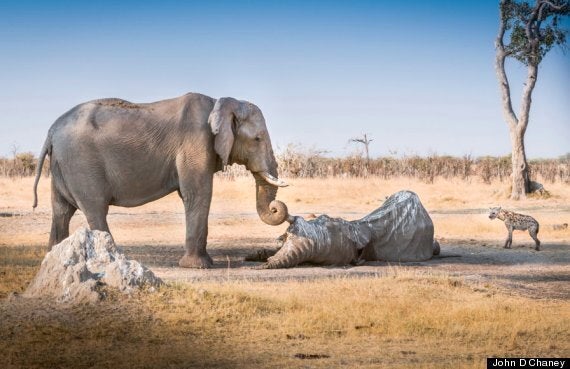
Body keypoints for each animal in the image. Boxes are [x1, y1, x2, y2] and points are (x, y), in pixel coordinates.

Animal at [31, 92, 288, 268]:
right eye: (257, 139)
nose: (276, 208)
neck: (220, 102)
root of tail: (51, 131)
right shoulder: (196, 144)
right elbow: (198, 193)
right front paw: (199, 267)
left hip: (62, 165)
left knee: (61, 211)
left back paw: (53, 260)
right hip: (81, 163)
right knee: (95, 209)